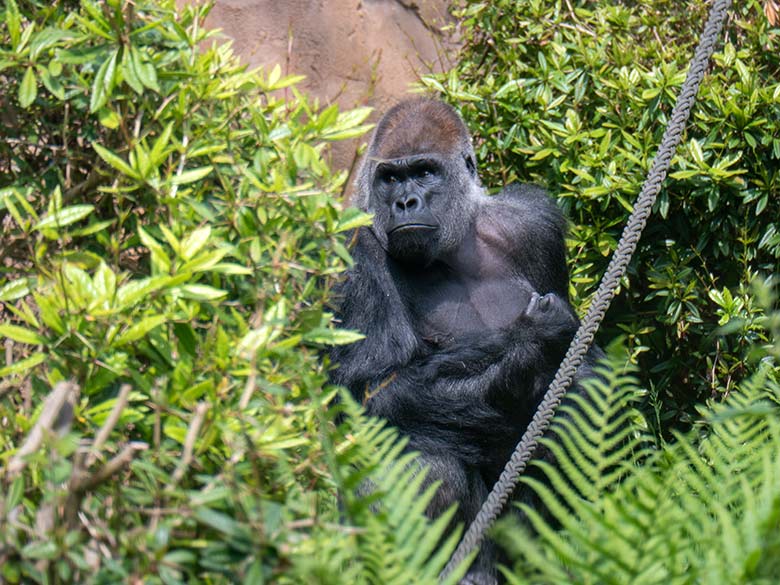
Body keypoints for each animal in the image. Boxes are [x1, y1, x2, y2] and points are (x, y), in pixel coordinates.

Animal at [330, 98, 596, 580]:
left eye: (425, 171)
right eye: (390, 178)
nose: (405, 202)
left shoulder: (534, 220)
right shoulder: (353, 251)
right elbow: (372, 391)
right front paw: (531, 345)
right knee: (418, 455)